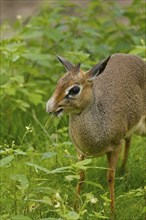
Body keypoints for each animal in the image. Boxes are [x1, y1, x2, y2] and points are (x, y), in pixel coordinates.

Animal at [46, 53, 146, 215]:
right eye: (58, 82)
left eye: (74, 89)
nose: (50, 107)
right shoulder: (80, 151)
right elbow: (81, 176)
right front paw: (74, 208)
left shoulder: (115, 147)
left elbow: (110, 177)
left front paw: (112, 213)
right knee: (129, 139)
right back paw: (124, 171)